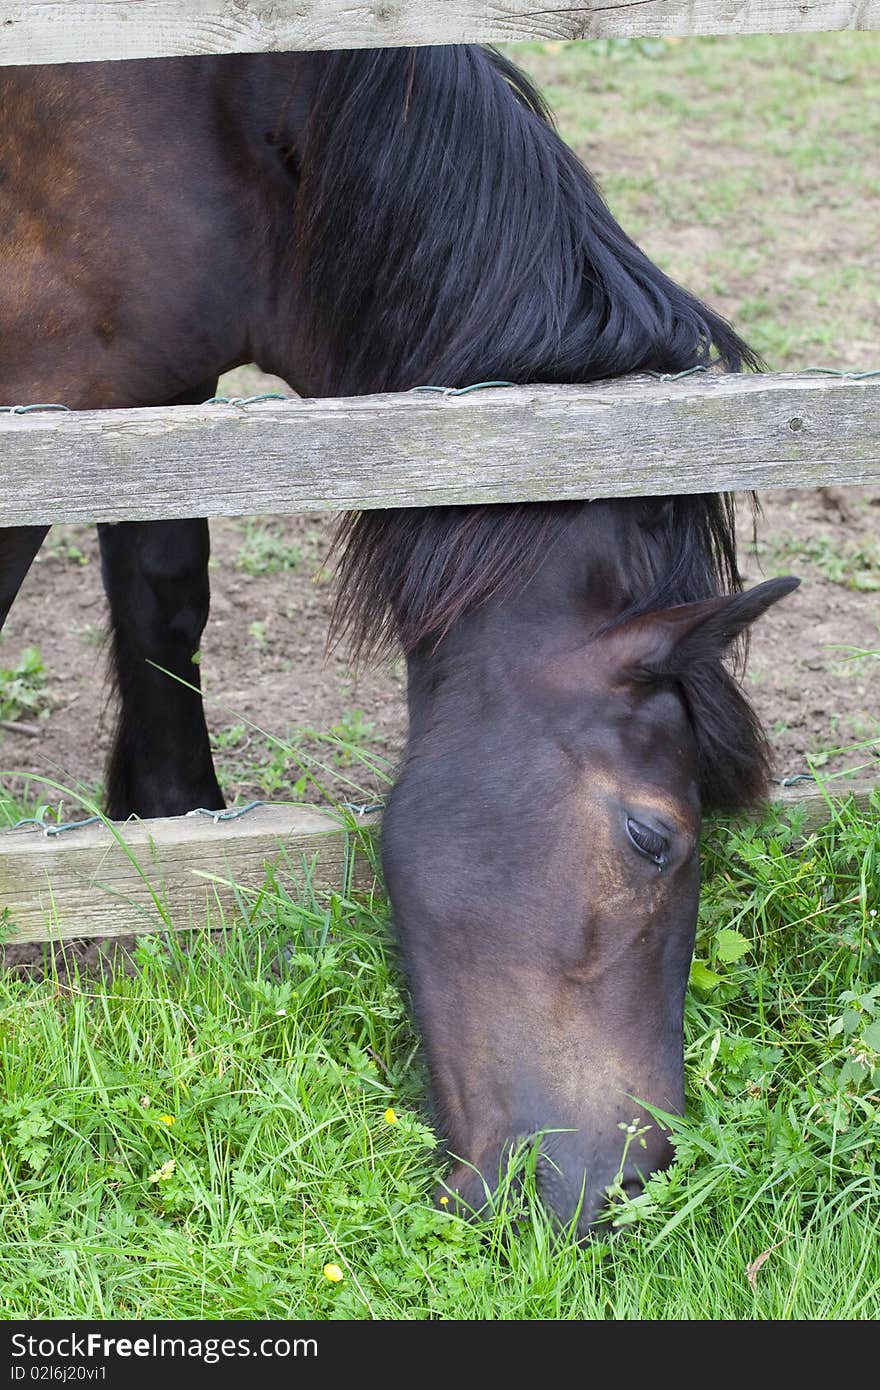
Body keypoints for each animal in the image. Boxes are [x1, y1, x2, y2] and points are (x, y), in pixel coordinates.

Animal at [0, 48, 795, 1234]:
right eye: (653, 838)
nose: (627, 1183)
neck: (234, 112)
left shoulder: (153, 392)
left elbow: (163, 592)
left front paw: (170, 834)